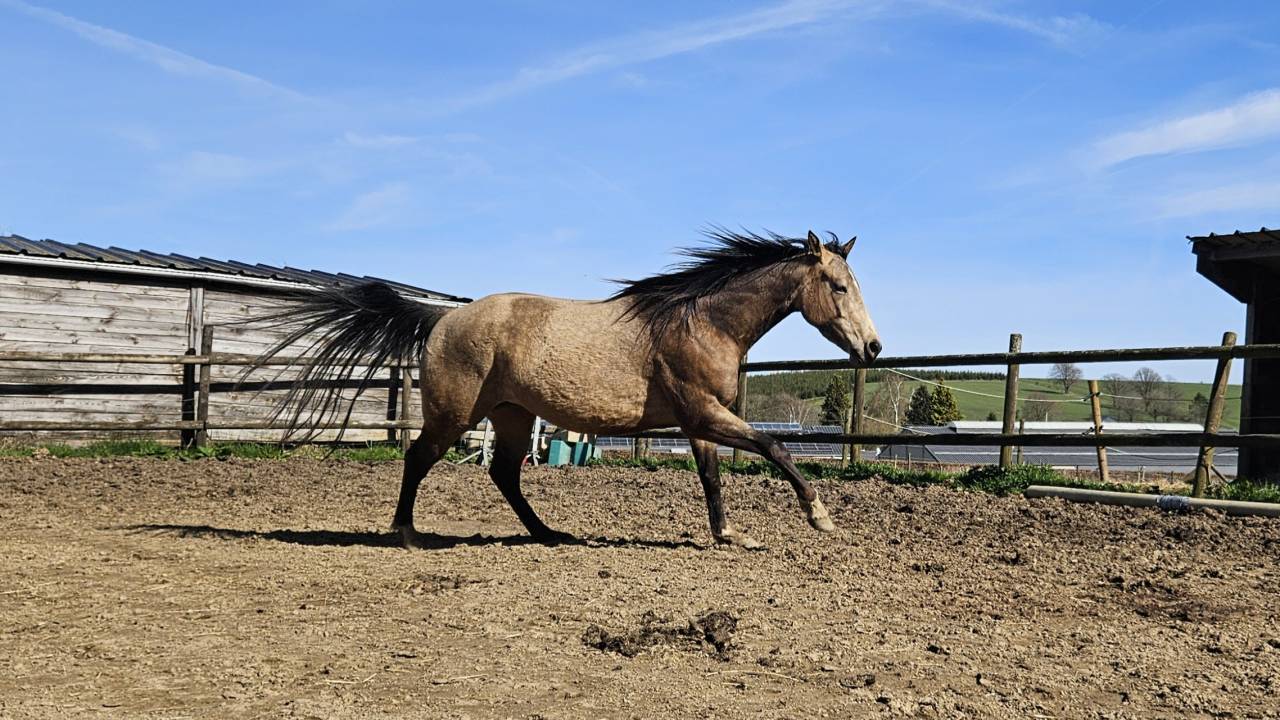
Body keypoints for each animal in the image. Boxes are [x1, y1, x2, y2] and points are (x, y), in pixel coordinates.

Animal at [252, 229, 881, 549]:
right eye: (838, 285)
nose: (873, 347)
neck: (701, 322)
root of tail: (442, 318)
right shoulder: (704, 414)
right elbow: (776, 448)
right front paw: (820, 517)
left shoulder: (701, 421)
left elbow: (711, 478)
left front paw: (727, 535)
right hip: (456, 414)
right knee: (419, 457)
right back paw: (406, 533)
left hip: (510, 414)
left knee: (503, 473)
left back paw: (548, 533)